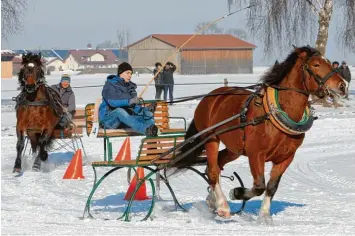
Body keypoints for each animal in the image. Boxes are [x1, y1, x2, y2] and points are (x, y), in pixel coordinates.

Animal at [168, 45, 350, 223]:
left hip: (235, 149)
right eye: (316, 64)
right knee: (213, 170)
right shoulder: (256, 154)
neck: (274, 113)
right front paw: (236, 192)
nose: (343, 86)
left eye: (329, 62)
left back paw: (212, 200)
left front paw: (264, 215)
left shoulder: (286, 157)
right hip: (211, 139)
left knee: (217, 165)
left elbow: (271, 186)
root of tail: (210, 97)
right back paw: (222, 206)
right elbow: (259, 186)